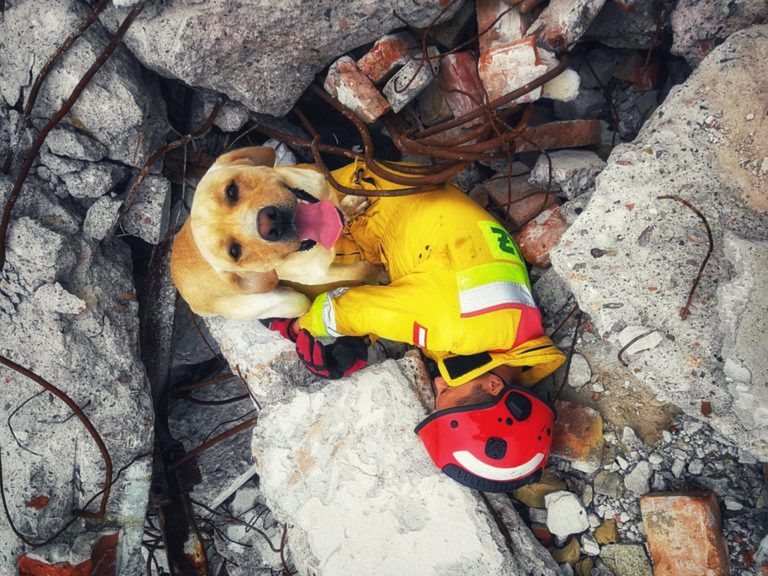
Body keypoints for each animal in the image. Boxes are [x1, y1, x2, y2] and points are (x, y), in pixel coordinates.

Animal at [175, 146, 378, 320]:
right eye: (235, 251)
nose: (270, 223)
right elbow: (360, 269)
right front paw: (379, 275)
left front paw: (352, 205)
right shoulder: (322, 274)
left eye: (231, 191)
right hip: (293, 301)